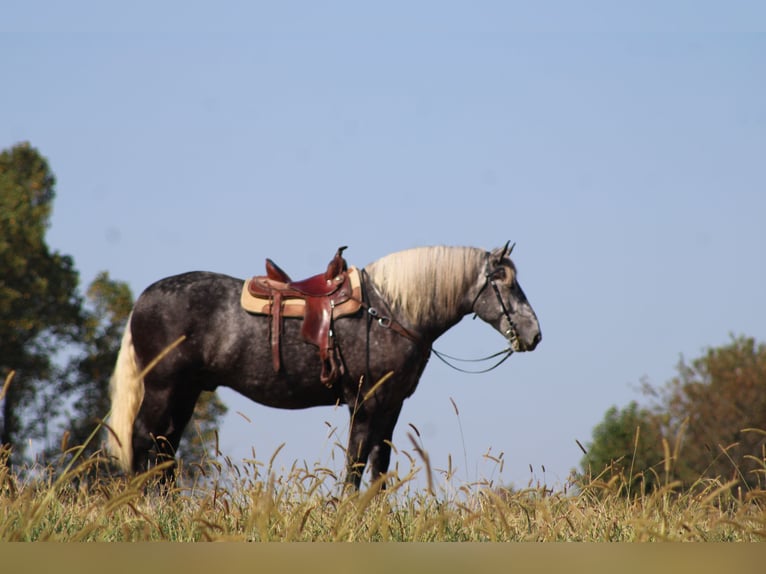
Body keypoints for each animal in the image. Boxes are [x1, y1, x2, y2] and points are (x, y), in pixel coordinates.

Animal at [106, 243, 541, 489]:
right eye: (505, 282)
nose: (534, 334)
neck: (387, 312)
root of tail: (144, 299)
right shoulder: (365, 402)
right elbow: (356, 462)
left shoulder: (391, 405)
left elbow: (379, 465)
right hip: (162, 388)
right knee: (143, 439)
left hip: (186, 392)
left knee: (165, 446)